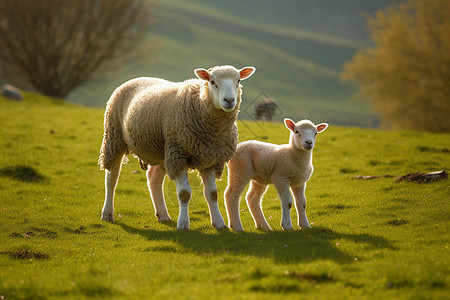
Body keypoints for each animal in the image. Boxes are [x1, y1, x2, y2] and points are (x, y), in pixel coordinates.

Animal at [98, 65, 255, 230]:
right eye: (212, 82)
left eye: (238, 81)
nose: (229, 100)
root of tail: (135, 78)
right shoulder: (179, 155)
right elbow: (184, 193)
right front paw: (183, 224)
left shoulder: (210, 159)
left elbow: (212, 193)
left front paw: (219, 223)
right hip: (114, 137)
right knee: (111, 178)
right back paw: (107, 214)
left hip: (162, 149)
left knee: (153, 178)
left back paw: (163, 215)